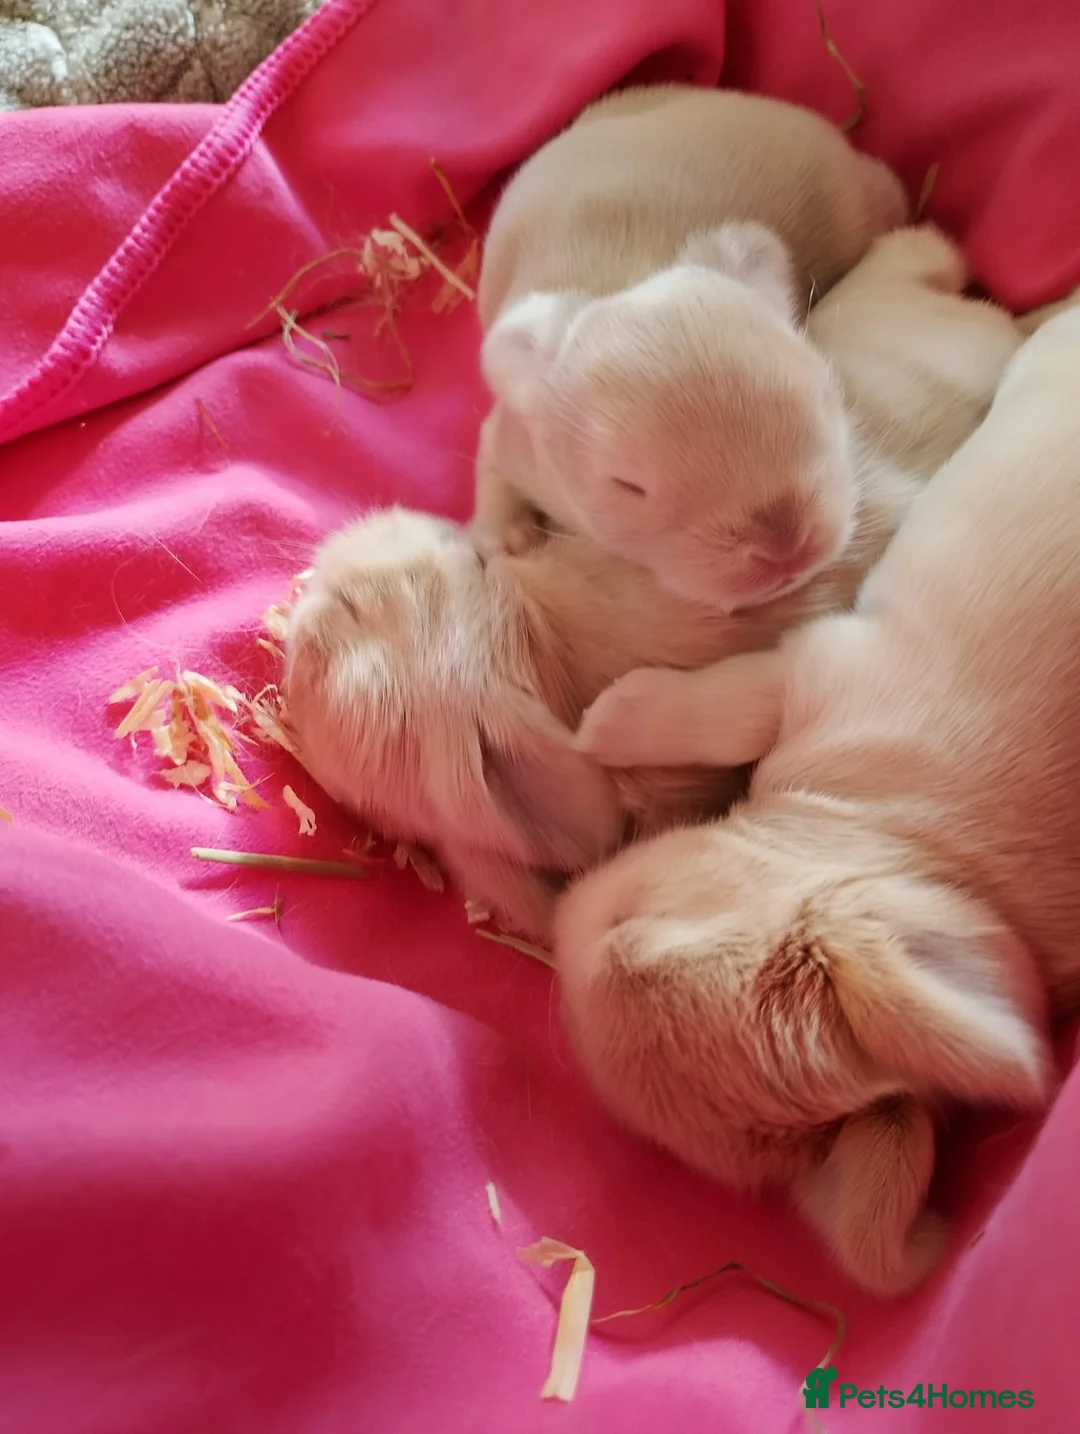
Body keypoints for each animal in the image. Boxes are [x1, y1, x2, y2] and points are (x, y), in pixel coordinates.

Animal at [474, 84, 909, 613]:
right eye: (628, 486)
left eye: (827, 400)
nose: (785, 547)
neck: (627, 277)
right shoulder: (519, 438)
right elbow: (490, 455)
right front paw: (508, 536)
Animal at [555, 303, 1080, 1299]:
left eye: (628, 925)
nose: (562, 911)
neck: (904, 840)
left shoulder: (812, 668)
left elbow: (722, 712)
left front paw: (610, 721)